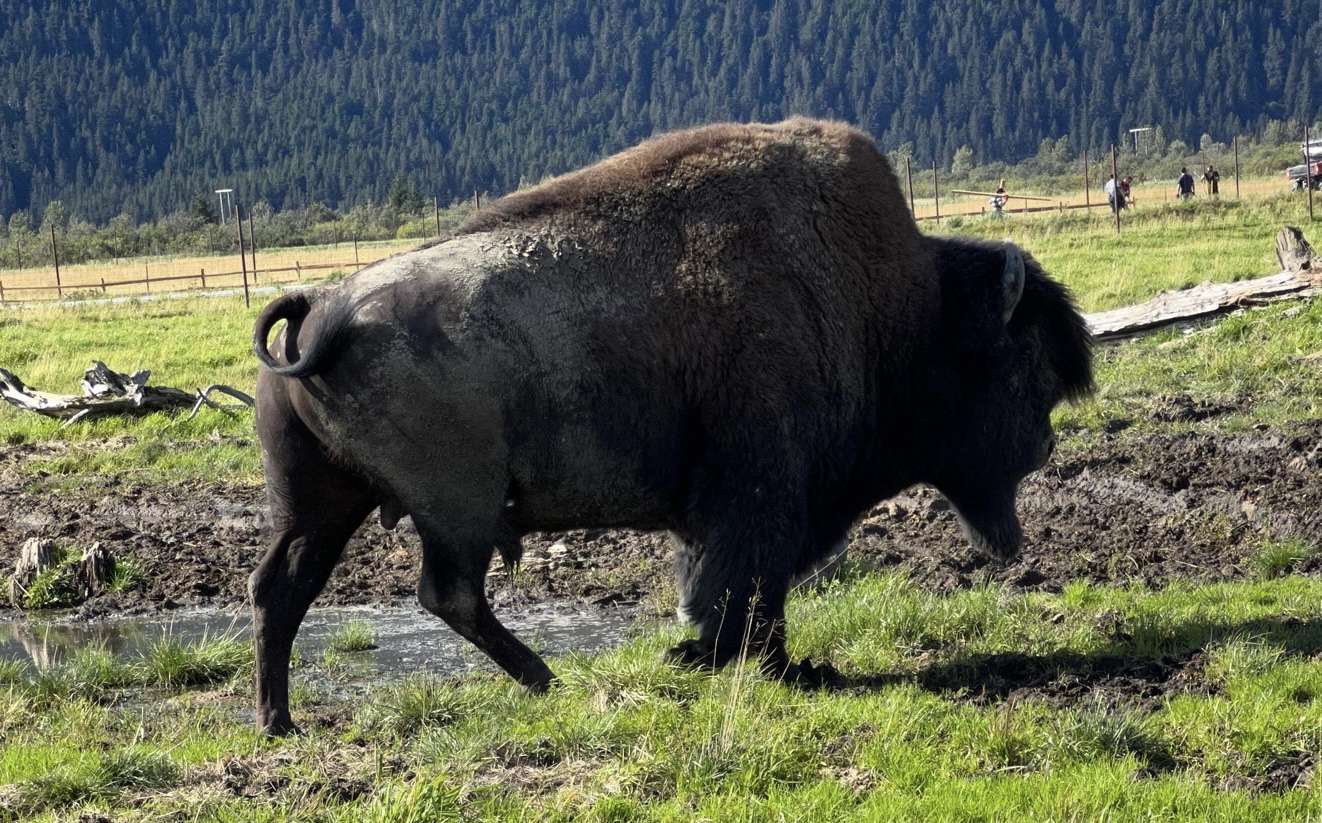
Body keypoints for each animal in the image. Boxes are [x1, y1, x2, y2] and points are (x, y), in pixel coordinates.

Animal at [250, 118, 1093, 735]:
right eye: (1025, 366)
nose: (1046, 443)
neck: (905, 309)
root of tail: (324, 307)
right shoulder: (760, 495)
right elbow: (746, 584)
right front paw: (749, 662)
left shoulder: (731, 510)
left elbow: (728, 584)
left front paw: (723, 653)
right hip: (456, 507)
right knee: (445, 592)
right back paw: (547, 679)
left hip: (325, 502)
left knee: (284, 588)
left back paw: (281, 721)